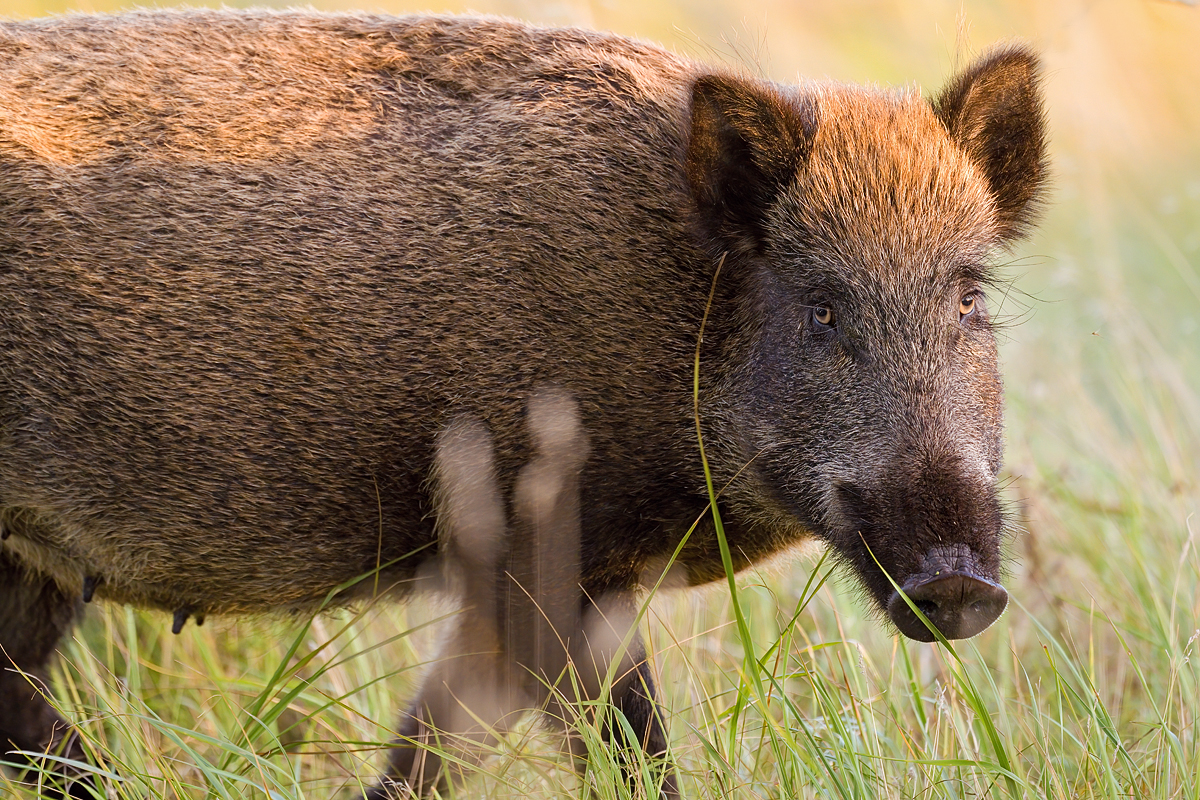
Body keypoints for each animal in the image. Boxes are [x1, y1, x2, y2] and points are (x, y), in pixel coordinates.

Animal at [0, 8, 1047, 798]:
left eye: (968, 297)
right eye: (821, 306)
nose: (961, 582)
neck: (682, 311)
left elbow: (438, 747)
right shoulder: (528, 545)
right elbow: (614, 754)